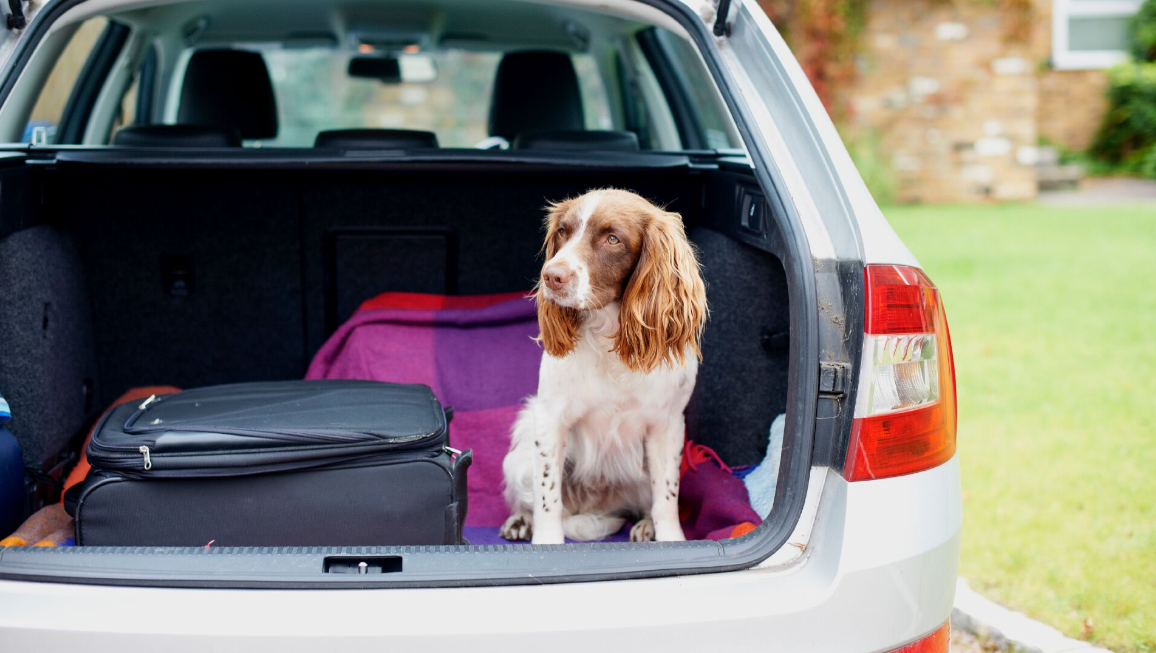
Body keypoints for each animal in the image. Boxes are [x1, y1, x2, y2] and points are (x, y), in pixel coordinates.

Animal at [501, 188, 707, 545]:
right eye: (563, 231)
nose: (551, 276)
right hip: (520, 453)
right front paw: (546, 542)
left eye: (612, 239)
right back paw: (521, 521)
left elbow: (666, 495)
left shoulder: (668, 425)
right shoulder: (549, 419)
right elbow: (547, 494)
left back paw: (646, 526)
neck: (610, 334)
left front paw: (669, 538)